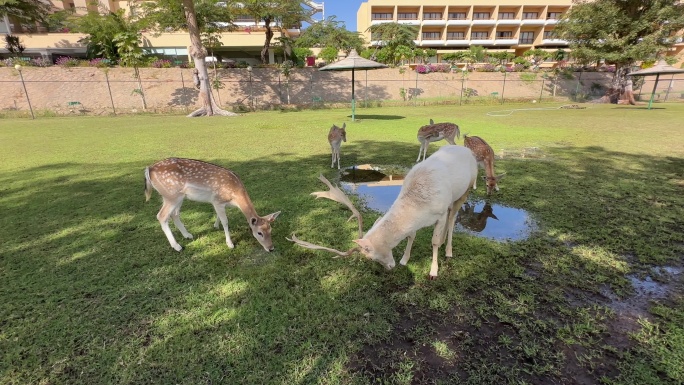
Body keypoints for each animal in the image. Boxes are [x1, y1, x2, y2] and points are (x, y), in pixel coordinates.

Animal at [144, 157, 280, 250]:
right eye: (259, 233)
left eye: (271, 229)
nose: (271, 248)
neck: (235, 196)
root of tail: (148, 169)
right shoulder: (217, 200)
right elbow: (225, 221)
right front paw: (230, 244)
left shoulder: (218, 203)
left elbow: (219, 216)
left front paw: (215, 225)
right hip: (171, 194)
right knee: (161, 216)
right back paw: (177, 246)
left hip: (177, 197)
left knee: (174, 214)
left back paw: (187, 235)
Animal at [288, 142, 476, 278]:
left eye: (371, 257)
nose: (390, 267)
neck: (419, 207)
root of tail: (467, 149)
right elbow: (411, 236)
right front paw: (404, 260)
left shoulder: (440, 211)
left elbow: (434, 241)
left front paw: (433, 271)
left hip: (466, 190)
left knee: (453, 217)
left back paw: (448, 250)